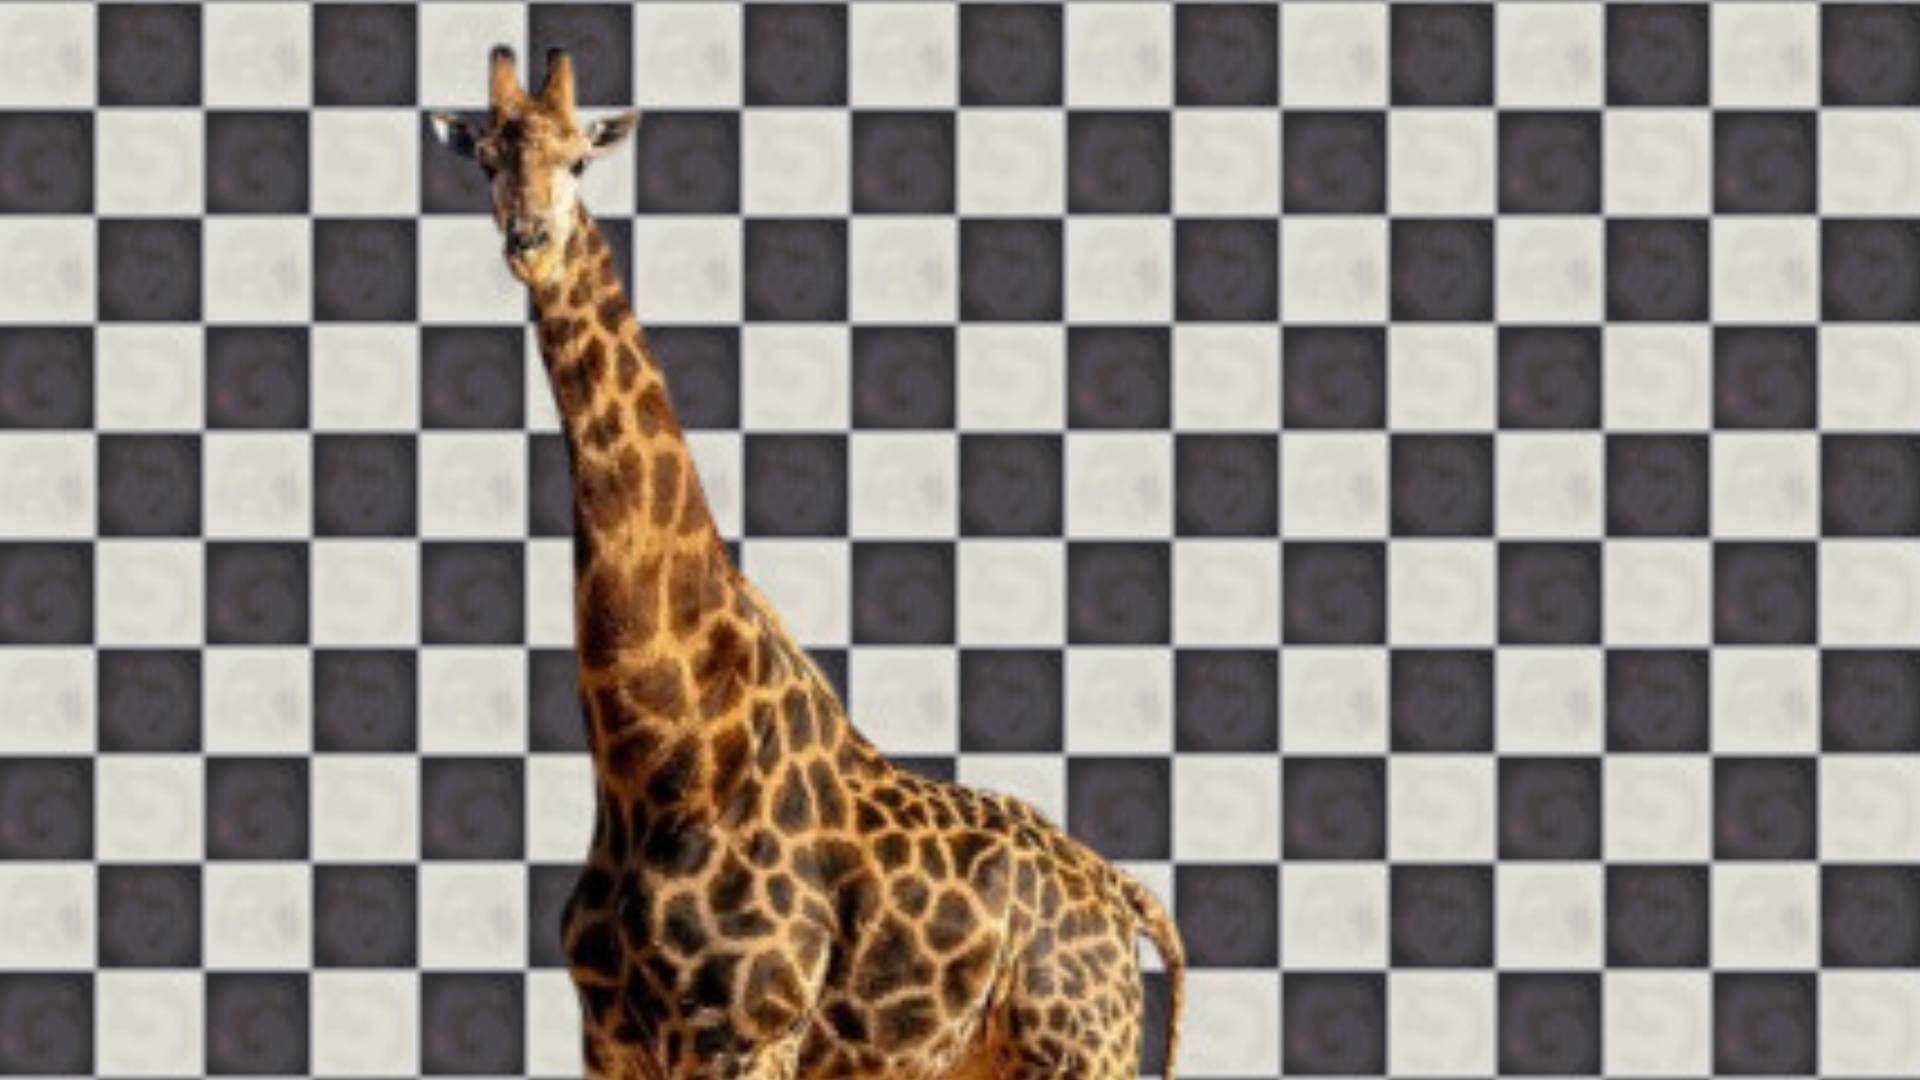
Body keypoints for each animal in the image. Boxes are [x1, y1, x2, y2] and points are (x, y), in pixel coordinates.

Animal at [432, 48, 1185, 1080]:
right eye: (486, 159)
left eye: (581, 159)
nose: (531, 239)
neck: (653, 757)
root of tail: (1123, 892)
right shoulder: (611, 1040)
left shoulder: (747, 1035)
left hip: (1081, 1049)